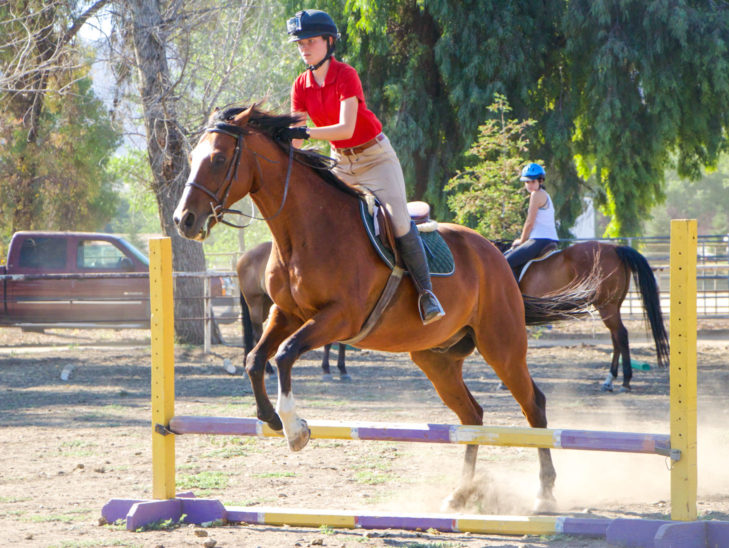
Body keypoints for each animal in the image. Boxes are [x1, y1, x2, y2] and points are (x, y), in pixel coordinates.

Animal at [233, 241, 346, 382]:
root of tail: (244, 256)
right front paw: (327, 370)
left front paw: (342, 369)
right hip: (255, 304)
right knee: (257, 334)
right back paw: (269, 370)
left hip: (264, 305)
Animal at [512, 242, 664, 392]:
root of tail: (615, 248)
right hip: (613, 305)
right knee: (615, 336)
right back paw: (609, 381)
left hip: (606, 305)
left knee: (620, 334)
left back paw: (625, 381)